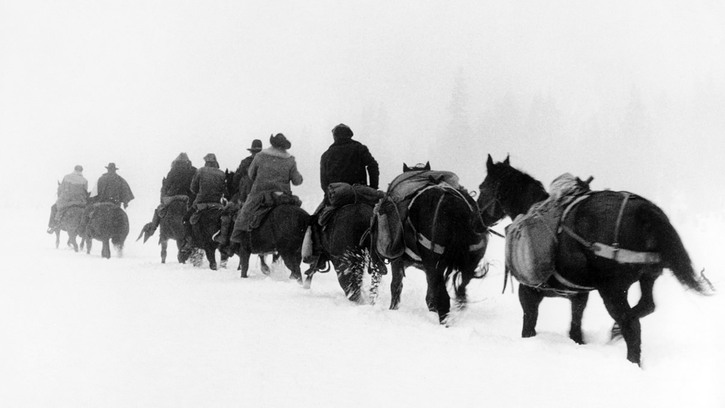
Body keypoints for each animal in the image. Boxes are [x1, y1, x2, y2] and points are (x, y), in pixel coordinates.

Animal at [384, 163, 486, 326]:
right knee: (461, 288)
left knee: (443, 297)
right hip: (469, 262)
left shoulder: (400, 261)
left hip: (434, 264)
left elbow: (396, 286)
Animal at [476, 155, 708, 364]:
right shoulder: (579, 296)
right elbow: (575, 330)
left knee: (631, 325)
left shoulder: (529, 292)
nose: (479, 219)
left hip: (612, 290)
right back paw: (617, 331)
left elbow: (529, 327)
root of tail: (645, 210)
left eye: (482, 187)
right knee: (646, 307)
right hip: (647, 277)